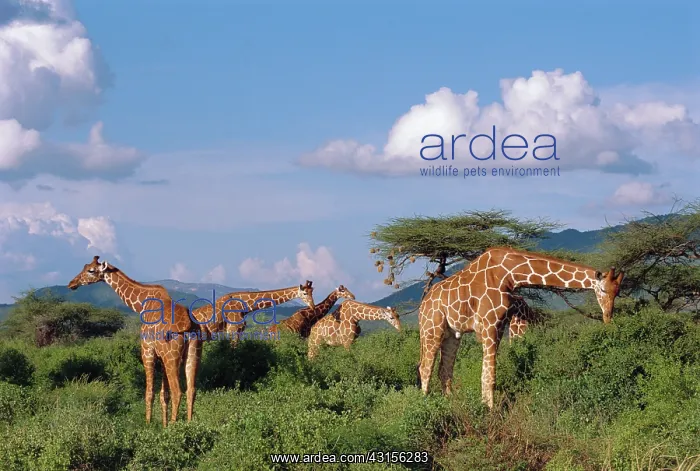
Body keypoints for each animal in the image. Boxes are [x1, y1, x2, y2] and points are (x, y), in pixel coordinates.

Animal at [67, 256, 201, 426]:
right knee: (191, 390)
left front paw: (148, 425)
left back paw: (174, 426)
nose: (71, 283)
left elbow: (149, 393)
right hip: (193, 354)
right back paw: (189, 425)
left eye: (91, 270)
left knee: (178, 392)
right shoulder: (160, 355)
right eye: (84, 266)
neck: (142, 305)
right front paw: (163, 426)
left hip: (171, 357)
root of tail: (189, 325)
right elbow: (164, 395)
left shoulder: (147, 351)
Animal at [417, 246, 625, 409]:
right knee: (425, 368)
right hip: (432, 329)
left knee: (444, 370)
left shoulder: (500, 325)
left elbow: (487, 373)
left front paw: (485, 405)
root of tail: (423, 305)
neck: (509, 275)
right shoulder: (489, 324)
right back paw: (424, 405)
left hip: (452, 334)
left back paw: (449, 404)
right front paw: (489, 411)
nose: (608, 317)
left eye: (617, 292)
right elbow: (489, 376)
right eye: (603, 289)